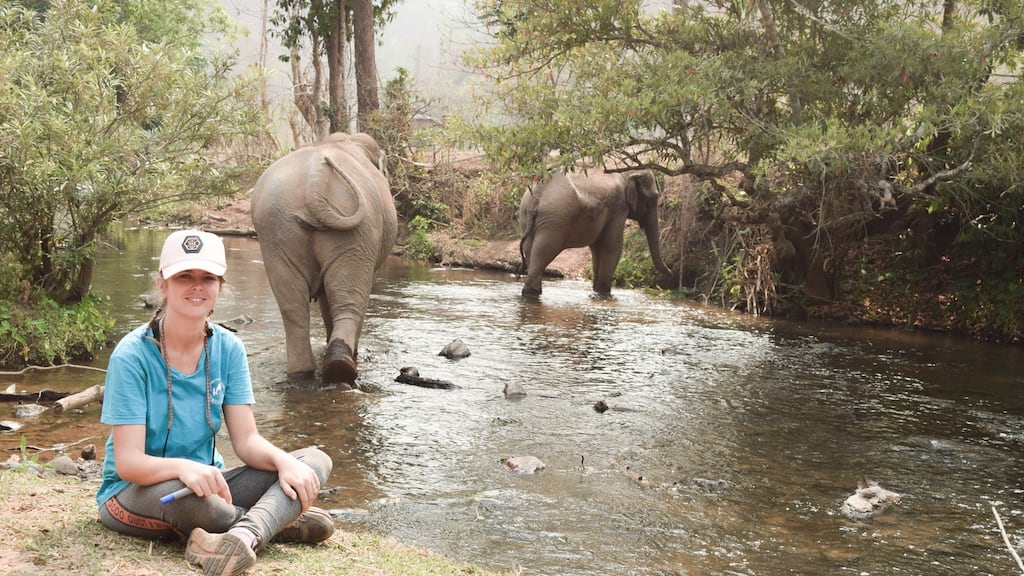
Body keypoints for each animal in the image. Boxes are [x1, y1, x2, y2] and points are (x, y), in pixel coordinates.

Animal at [251, 132, 398, 384]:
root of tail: (314, 180)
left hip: (275, 230)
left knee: (293, 307)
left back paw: (302, 373)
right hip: (360, 232)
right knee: (350, 298)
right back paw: (342, 366)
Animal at [518, 169, 672, 297]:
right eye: (653, 197)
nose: (671, 274)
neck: (626, 173)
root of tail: (537, 195)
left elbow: (598, 247)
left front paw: (596, 292)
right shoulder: (619, 207)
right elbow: (613, 246)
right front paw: (604, 295)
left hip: (527, 216)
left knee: (530, 251)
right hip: (554, 220)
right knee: (544, 251)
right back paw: (531, 293)